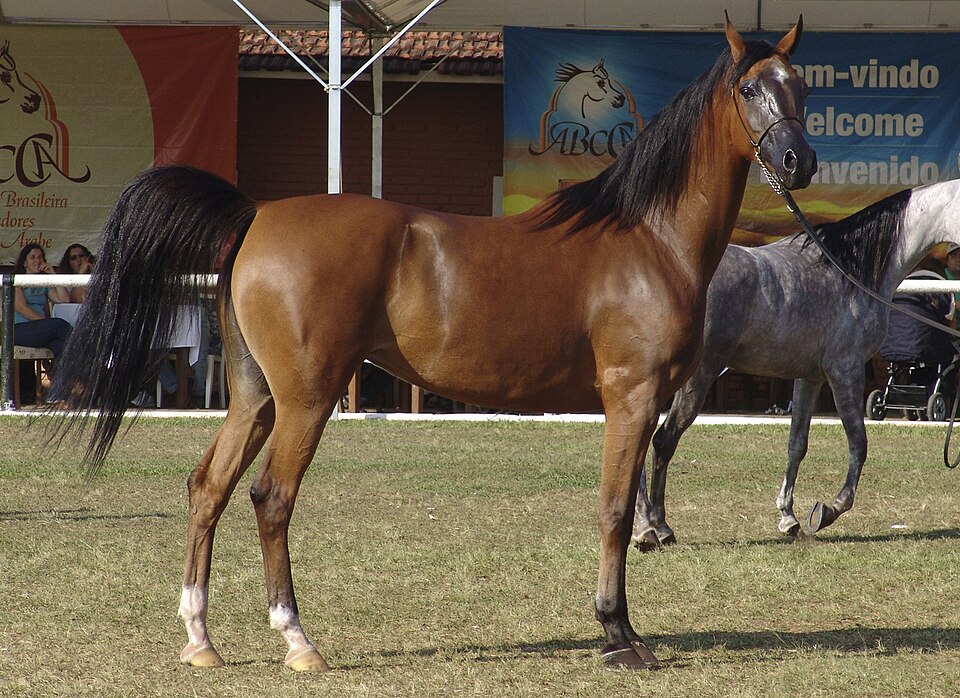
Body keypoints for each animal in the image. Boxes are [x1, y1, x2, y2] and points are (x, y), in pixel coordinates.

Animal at [49, 18, 815, 672]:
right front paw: (617, 636)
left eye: (801, 86)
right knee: (271, 496)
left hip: (254, 396)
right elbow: (616, 511)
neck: (645, 239)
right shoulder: (633, 396)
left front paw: (620, 630)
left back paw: (200, 639)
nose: (798, 161)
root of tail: (256, 213)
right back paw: (298, 641)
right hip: (306, 398)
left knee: (209, 487)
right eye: (750, 89)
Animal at [632, 178, 960, 550]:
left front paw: (788, 517)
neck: (850, 273)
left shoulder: (809, 378)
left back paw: (644, 526)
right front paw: (828, 510)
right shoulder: (844, 372)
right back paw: (658, 527)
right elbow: (858, 443)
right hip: (696, 378)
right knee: (663, 440)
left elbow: (797, 445)